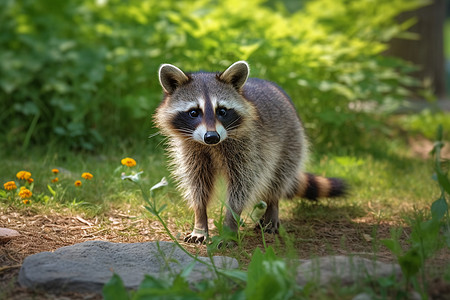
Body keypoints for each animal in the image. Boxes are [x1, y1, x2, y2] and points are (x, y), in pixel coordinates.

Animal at [153, 61, 346, 244]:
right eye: (193, 112)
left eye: (222, 111)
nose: (212, 137)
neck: (212, 146)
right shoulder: (191, 151)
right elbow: (197, 186)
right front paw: (200, 220)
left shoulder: (250, 148)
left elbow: (242, 187)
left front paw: (229, 227)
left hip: (291, 141)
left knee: (279, 177)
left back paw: (272, 208)